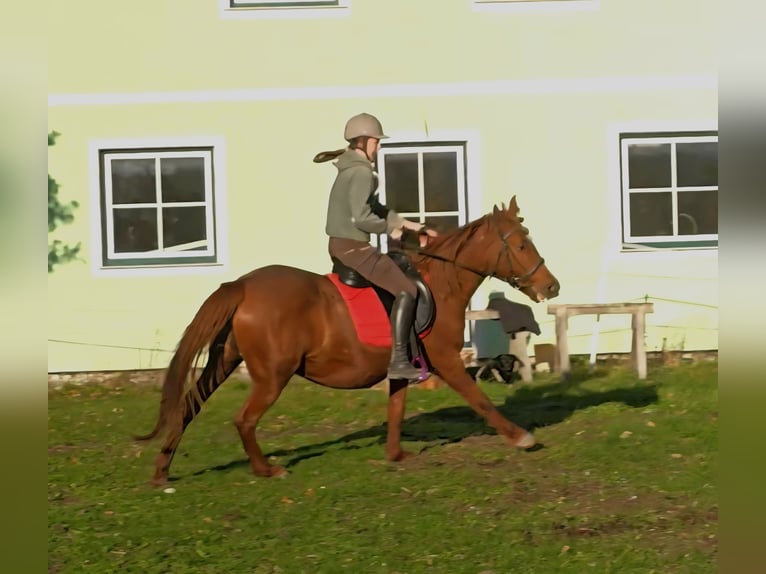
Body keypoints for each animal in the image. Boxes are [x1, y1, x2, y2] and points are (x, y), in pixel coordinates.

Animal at [136, 196, 560, 484]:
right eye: (521, 244)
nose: (551, 286)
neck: (441, 285)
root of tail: (242, 285)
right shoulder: (447, 361)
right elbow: (480, 400)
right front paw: (521, 437)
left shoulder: (404, 368)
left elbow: (396, 410)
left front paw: (396, 454)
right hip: (272, 376)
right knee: (244, 419)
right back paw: (265, 469)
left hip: (225, 361)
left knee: (189, 404)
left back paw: (162, 470)